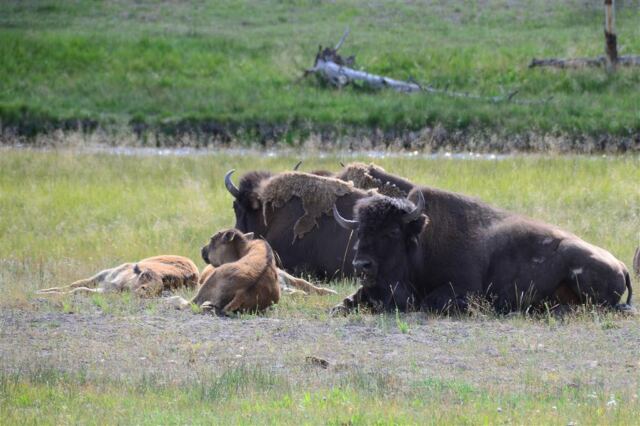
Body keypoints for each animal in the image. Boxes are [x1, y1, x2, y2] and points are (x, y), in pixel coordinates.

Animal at [333, 188, 633, 313]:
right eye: (359, 232)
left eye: (393, 232)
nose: (362, 265)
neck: (421, 243)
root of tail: (621, 265)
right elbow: (345, 303)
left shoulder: (465, 289)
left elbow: (429, 302)